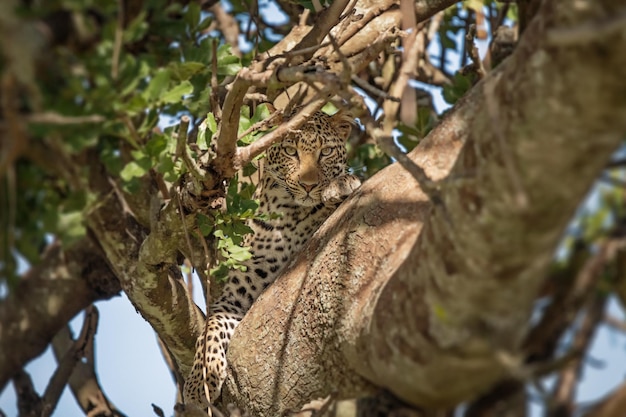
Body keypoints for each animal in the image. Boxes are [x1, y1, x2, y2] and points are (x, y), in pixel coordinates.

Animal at [183, 109, 360, 410]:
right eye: (291, 151)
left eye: (325, 152)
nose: (308, 186)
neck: (288, 215)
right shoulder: (237, 294)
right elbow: (211, 326)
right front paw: (200, 379)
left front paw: (341, 185)